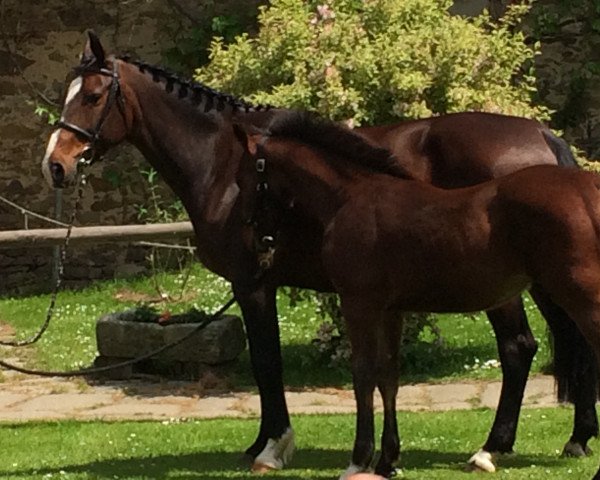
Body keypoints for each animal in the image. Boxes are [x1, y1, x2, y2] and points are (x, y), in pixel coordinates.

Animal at [233, 110, 600, 478]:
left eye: (243, 177)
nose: (256, 239)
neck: (352, 197)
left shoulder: (358, 303)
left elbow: (363, 374)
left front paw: (359, 460)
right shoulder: (390, 310)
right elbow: (388, 375)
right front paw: (387, 461)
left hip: (579, 295)